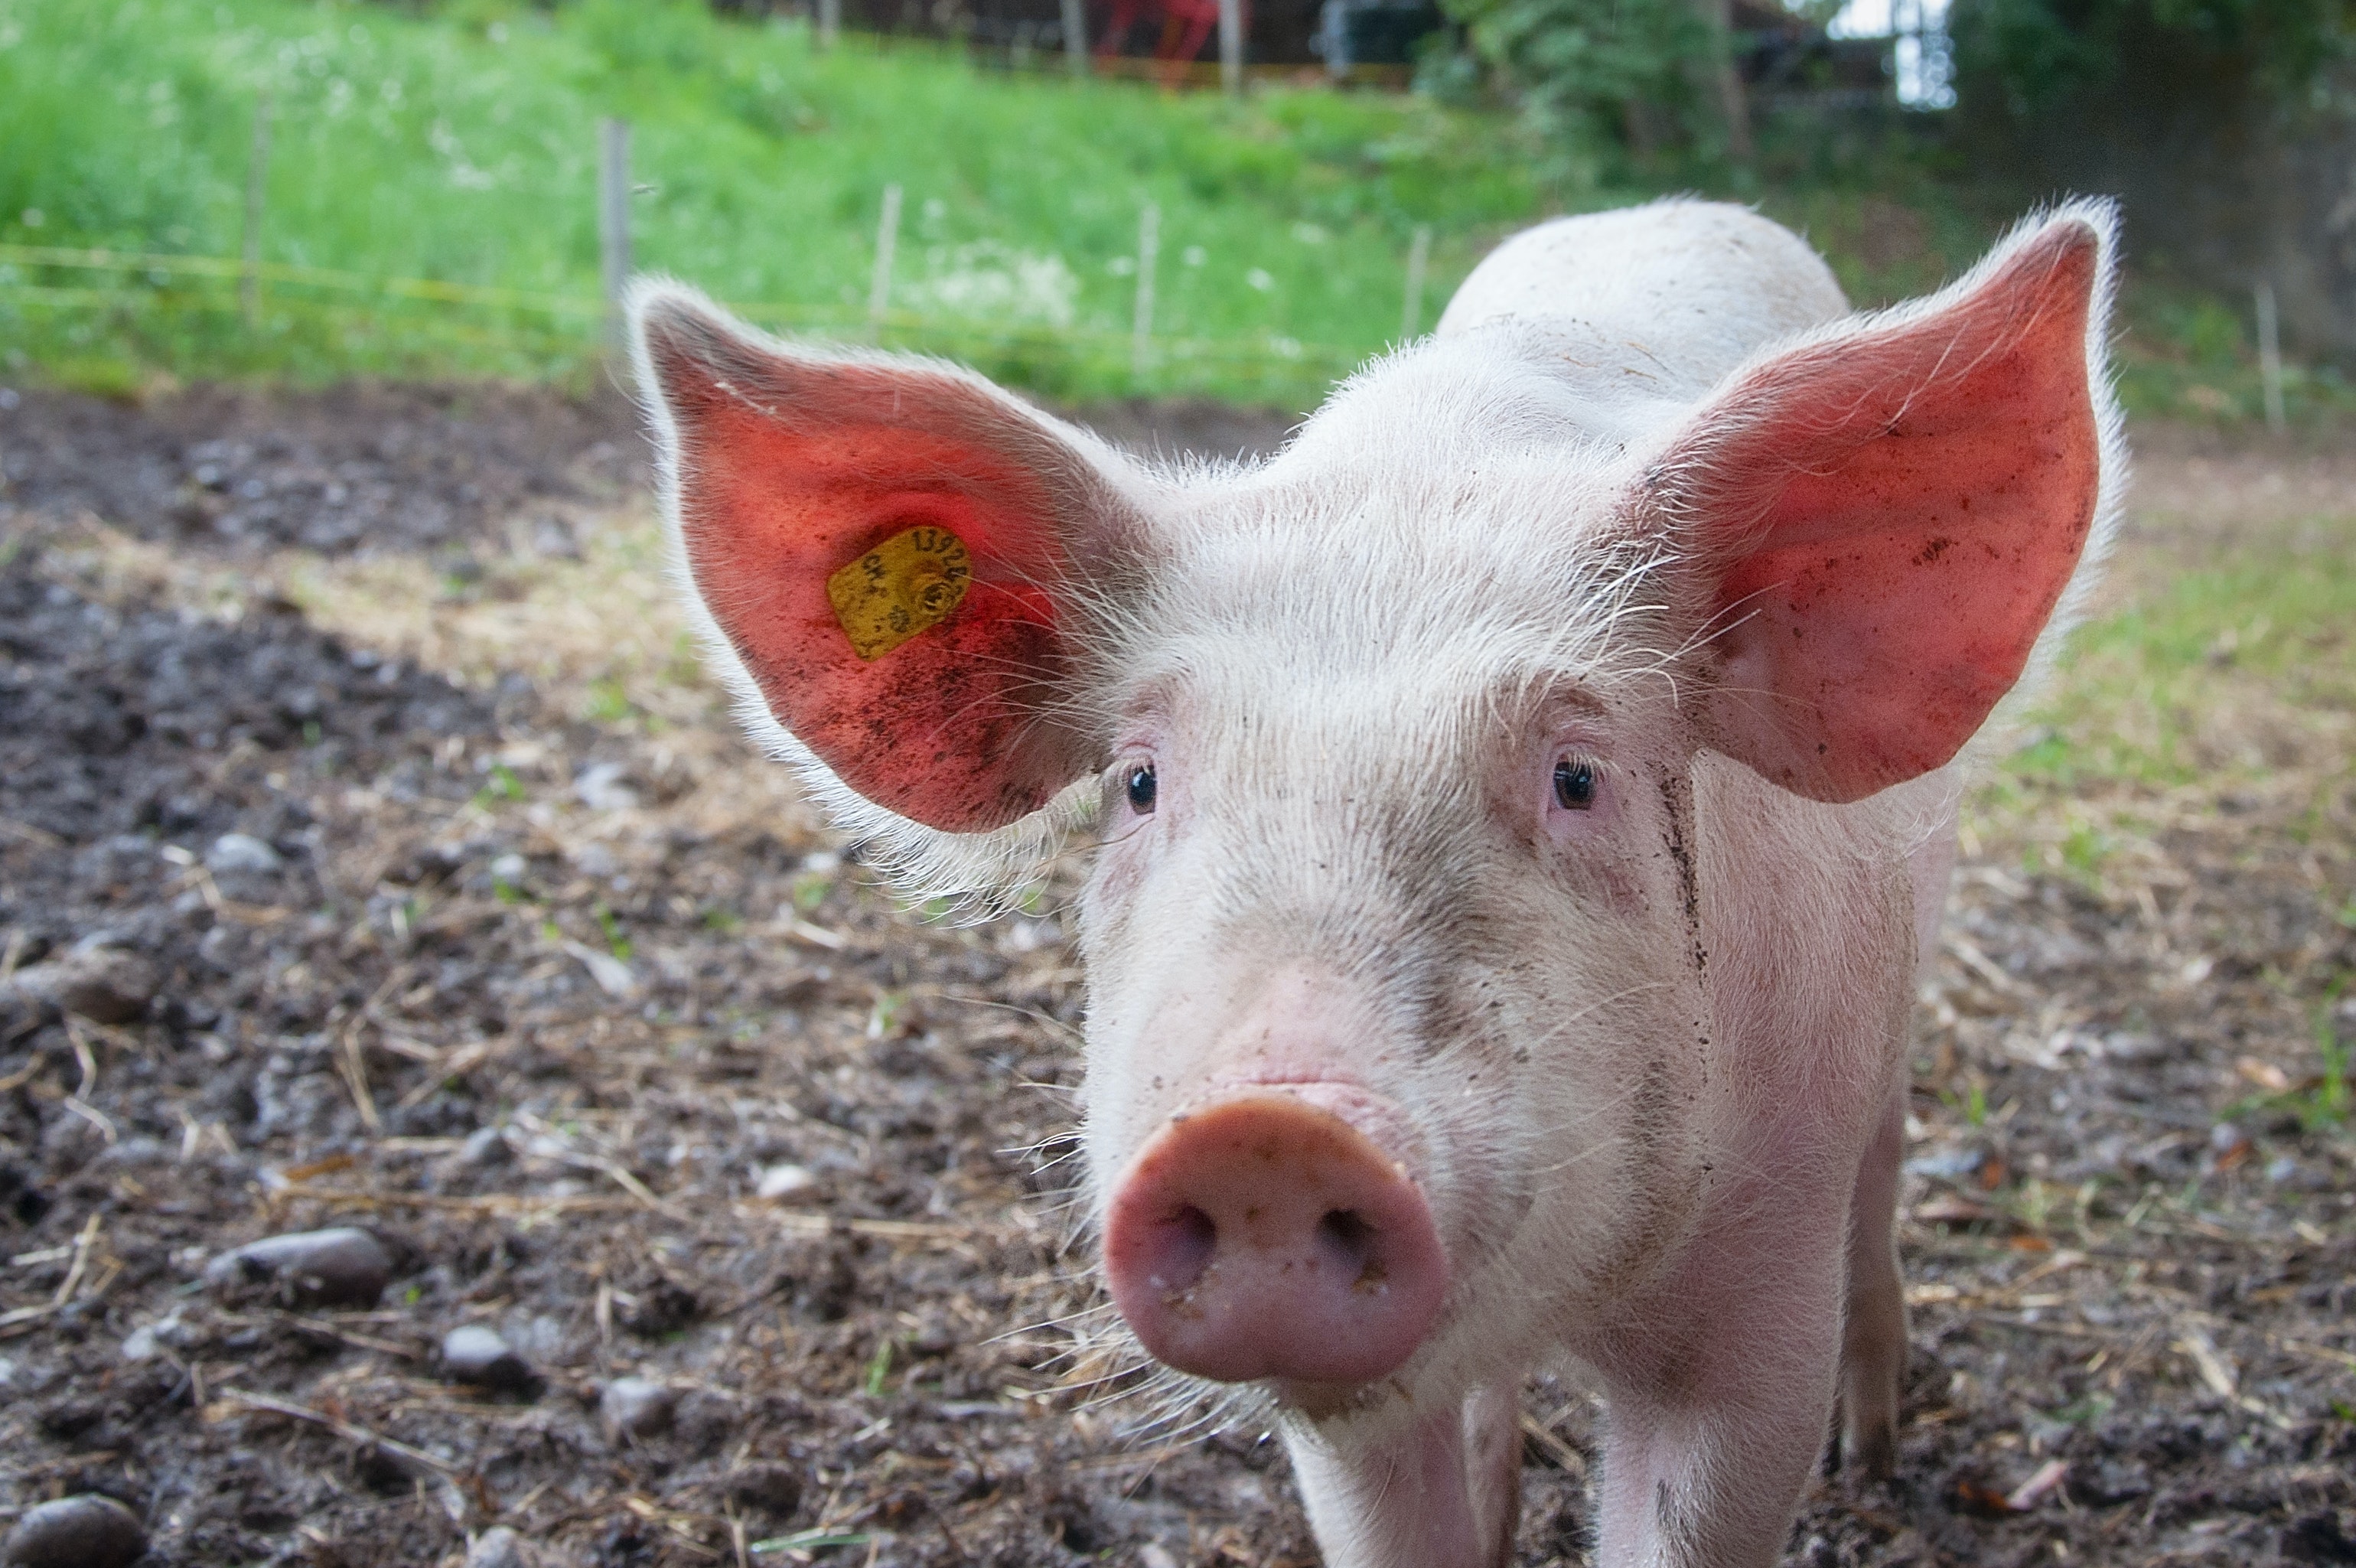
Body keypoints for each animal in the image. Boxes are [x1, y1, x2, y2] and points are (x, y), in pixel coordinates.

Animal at [627, 196, 2122, 1568]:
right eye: (1138, 782)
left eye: (1576, 775)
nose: (1266, 1133)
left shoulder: (1759, 1299)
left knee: (1884, 1166)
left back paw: (1876, 1450)